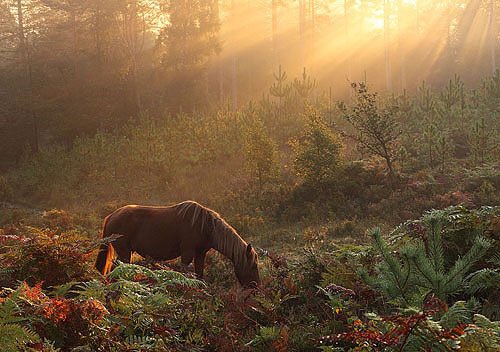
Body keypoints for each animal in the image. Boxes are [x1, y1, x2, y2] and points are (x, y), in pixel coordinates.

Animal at [94, 199, 260, 288]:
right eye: (253, 266)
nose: (257, 287)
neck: (205, 226)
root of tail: (112, 215)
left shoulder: (200, 254)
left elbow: (199, 275)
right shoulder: (187, 253)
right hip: (124, 252)